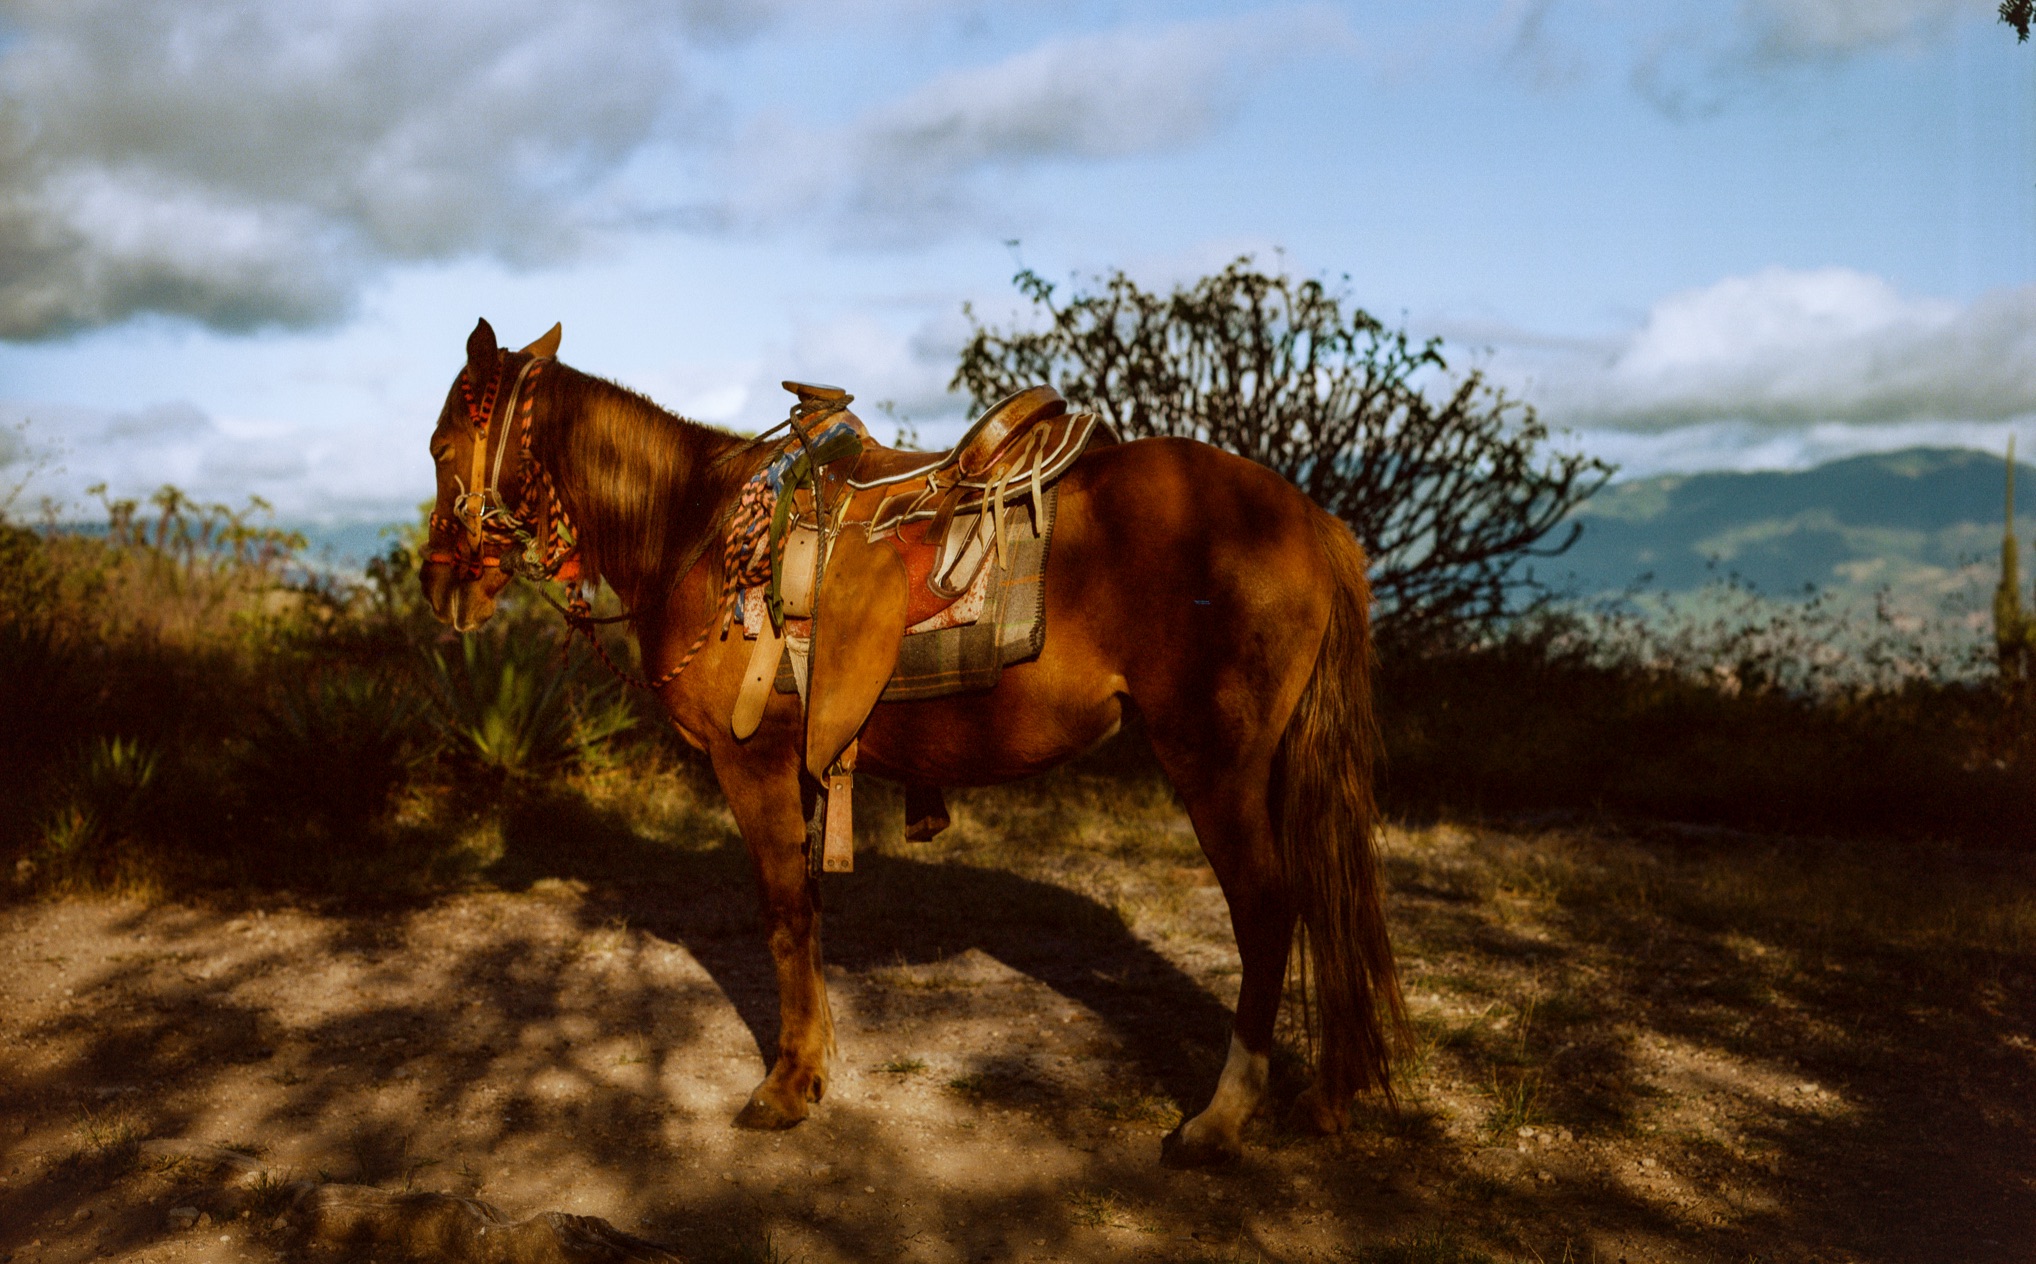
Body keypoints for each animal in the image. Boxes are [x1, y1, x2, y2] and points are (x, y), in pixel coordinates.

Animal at [418, 318, 1404, 1167]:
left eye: (438, 449)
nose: (438, 586)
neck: (696, 527)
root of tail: (1313, 521)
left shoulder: (753, 766)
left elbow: (784, 917)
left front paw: (785, 1088)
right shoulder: (806, 771)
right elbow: (810, 914)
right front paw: (816, 1064)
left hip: (1217, 764)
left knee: (1269, 910)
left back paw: (1221, 1118)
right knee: (1322, 895)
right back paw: (1328, 1095)